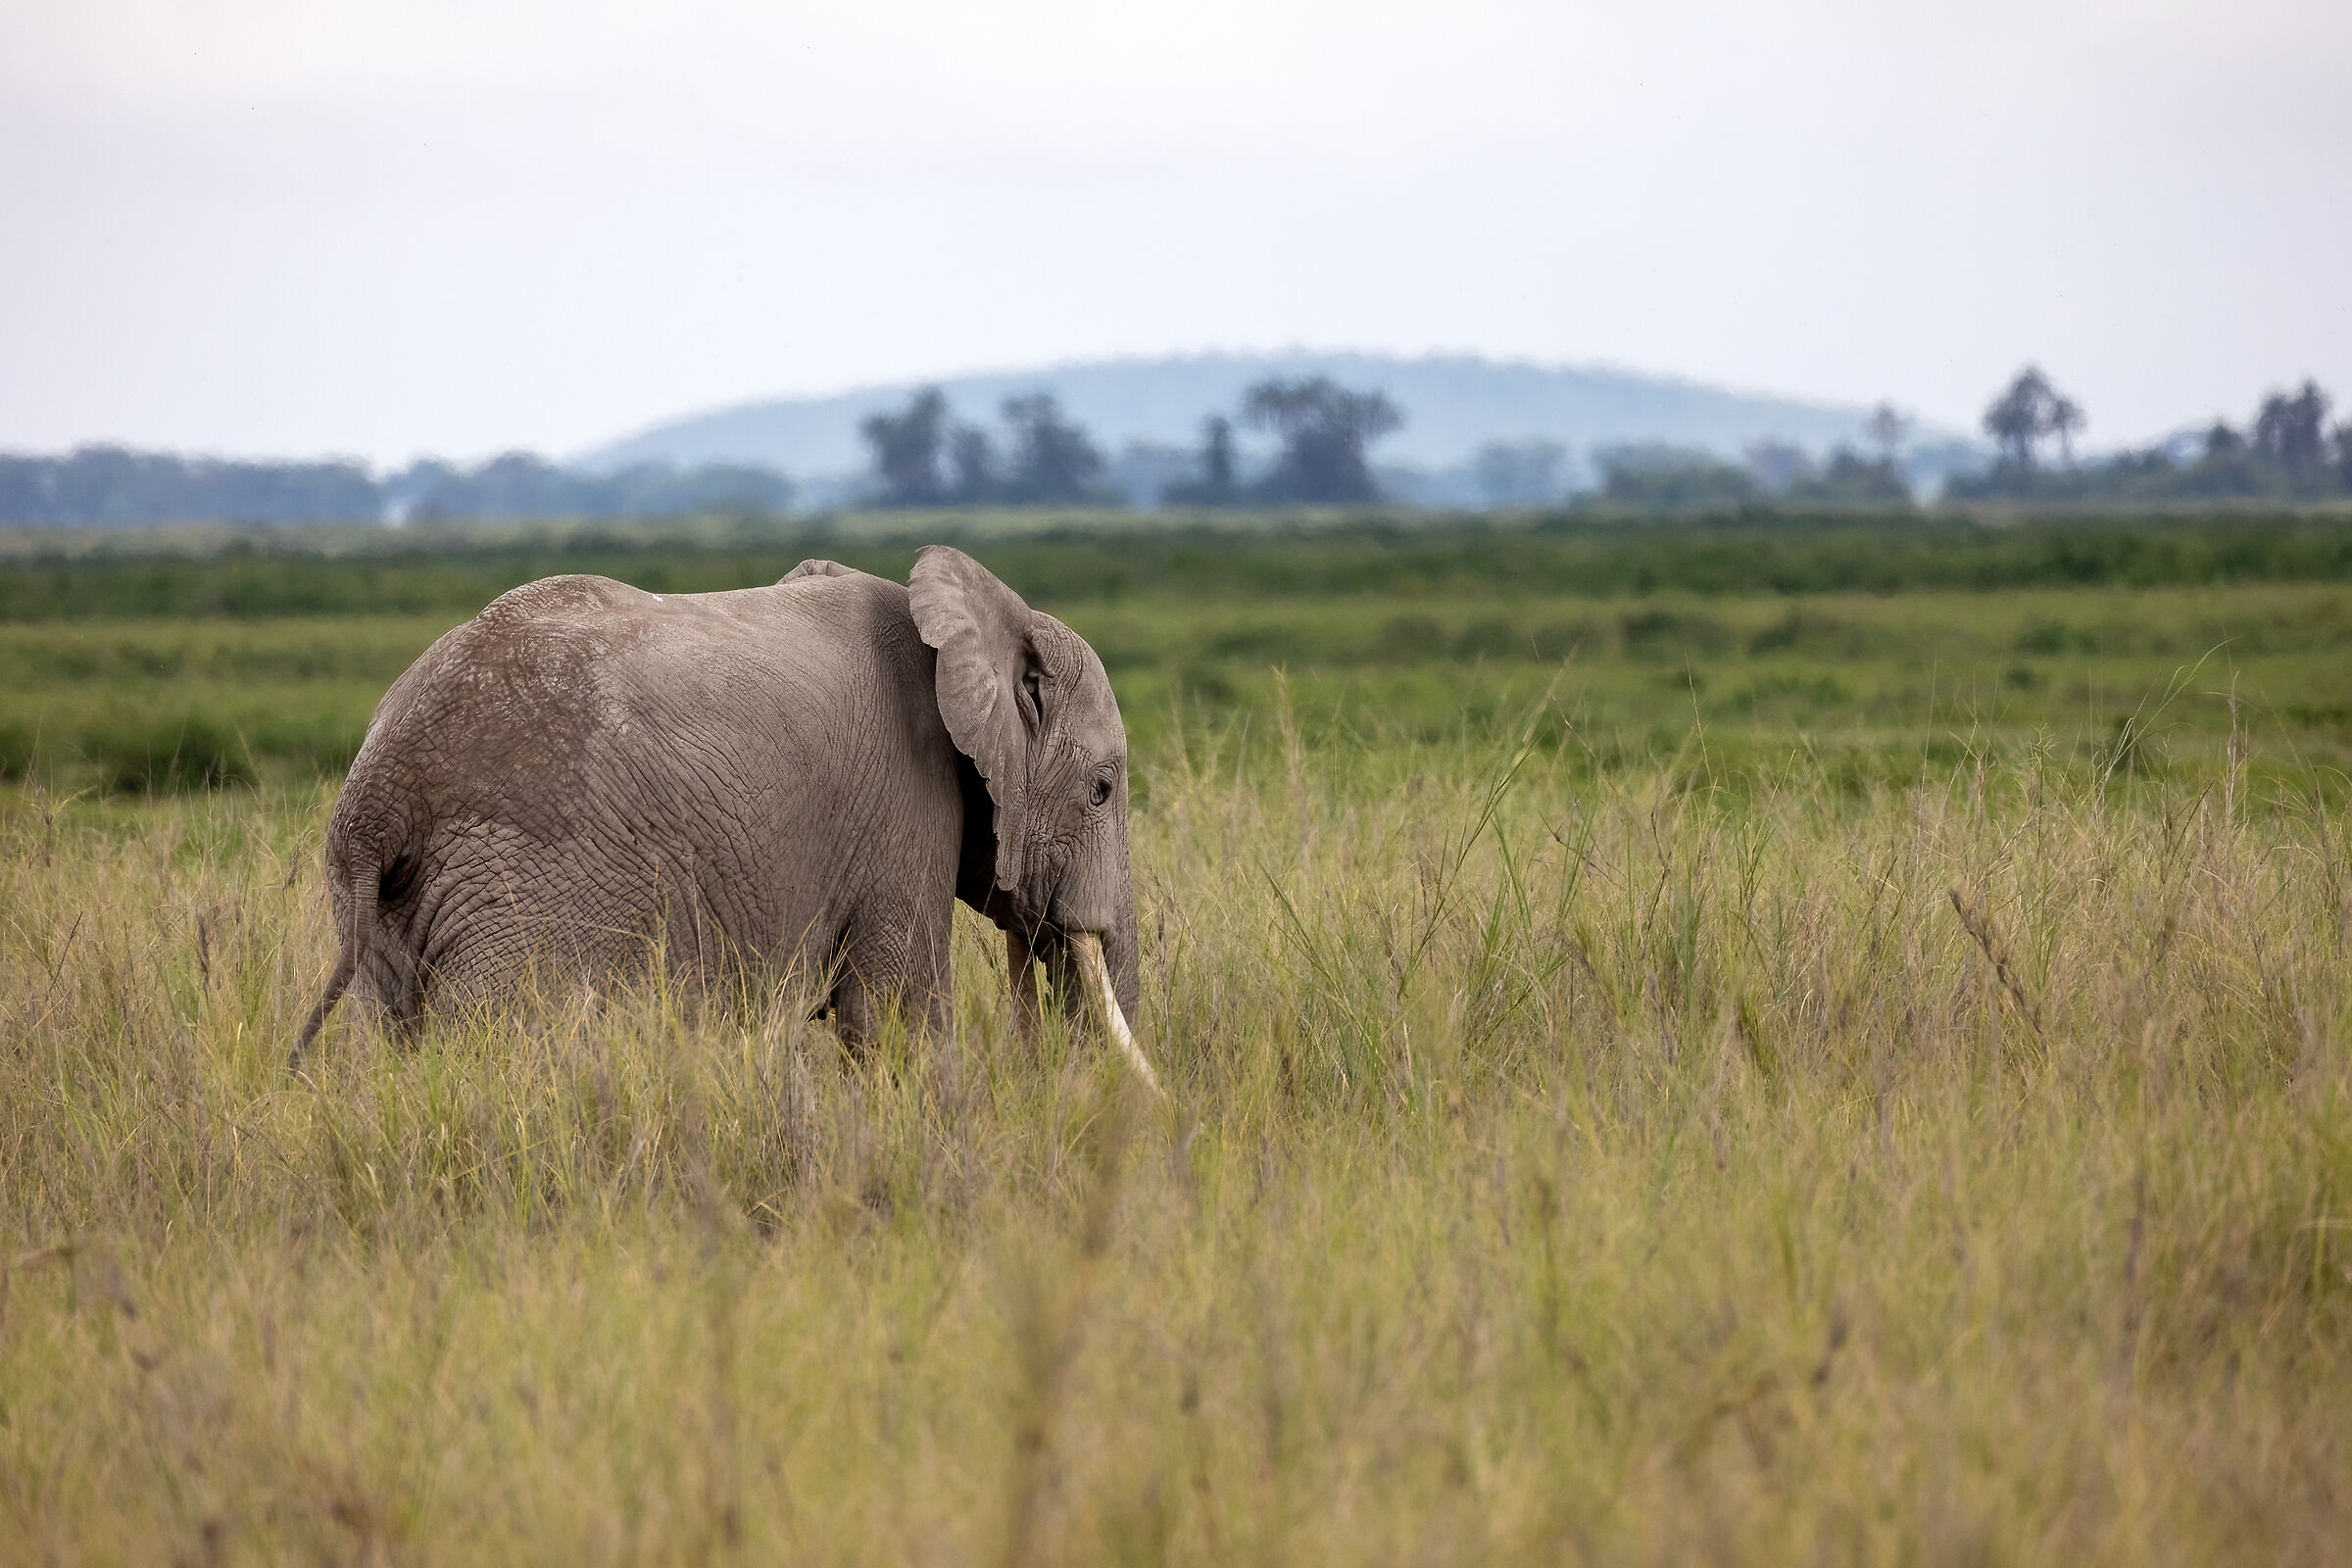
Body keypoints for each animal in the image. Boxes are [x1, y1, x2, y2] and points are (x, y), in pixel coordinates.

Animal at [293, 545, 1155, 1089]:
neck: (982, 619)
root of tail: (381, 790)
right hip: (521, 891)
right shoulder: (905, 805)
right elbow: (897, 1017)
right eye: (1102, 789)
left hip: (385, 908)